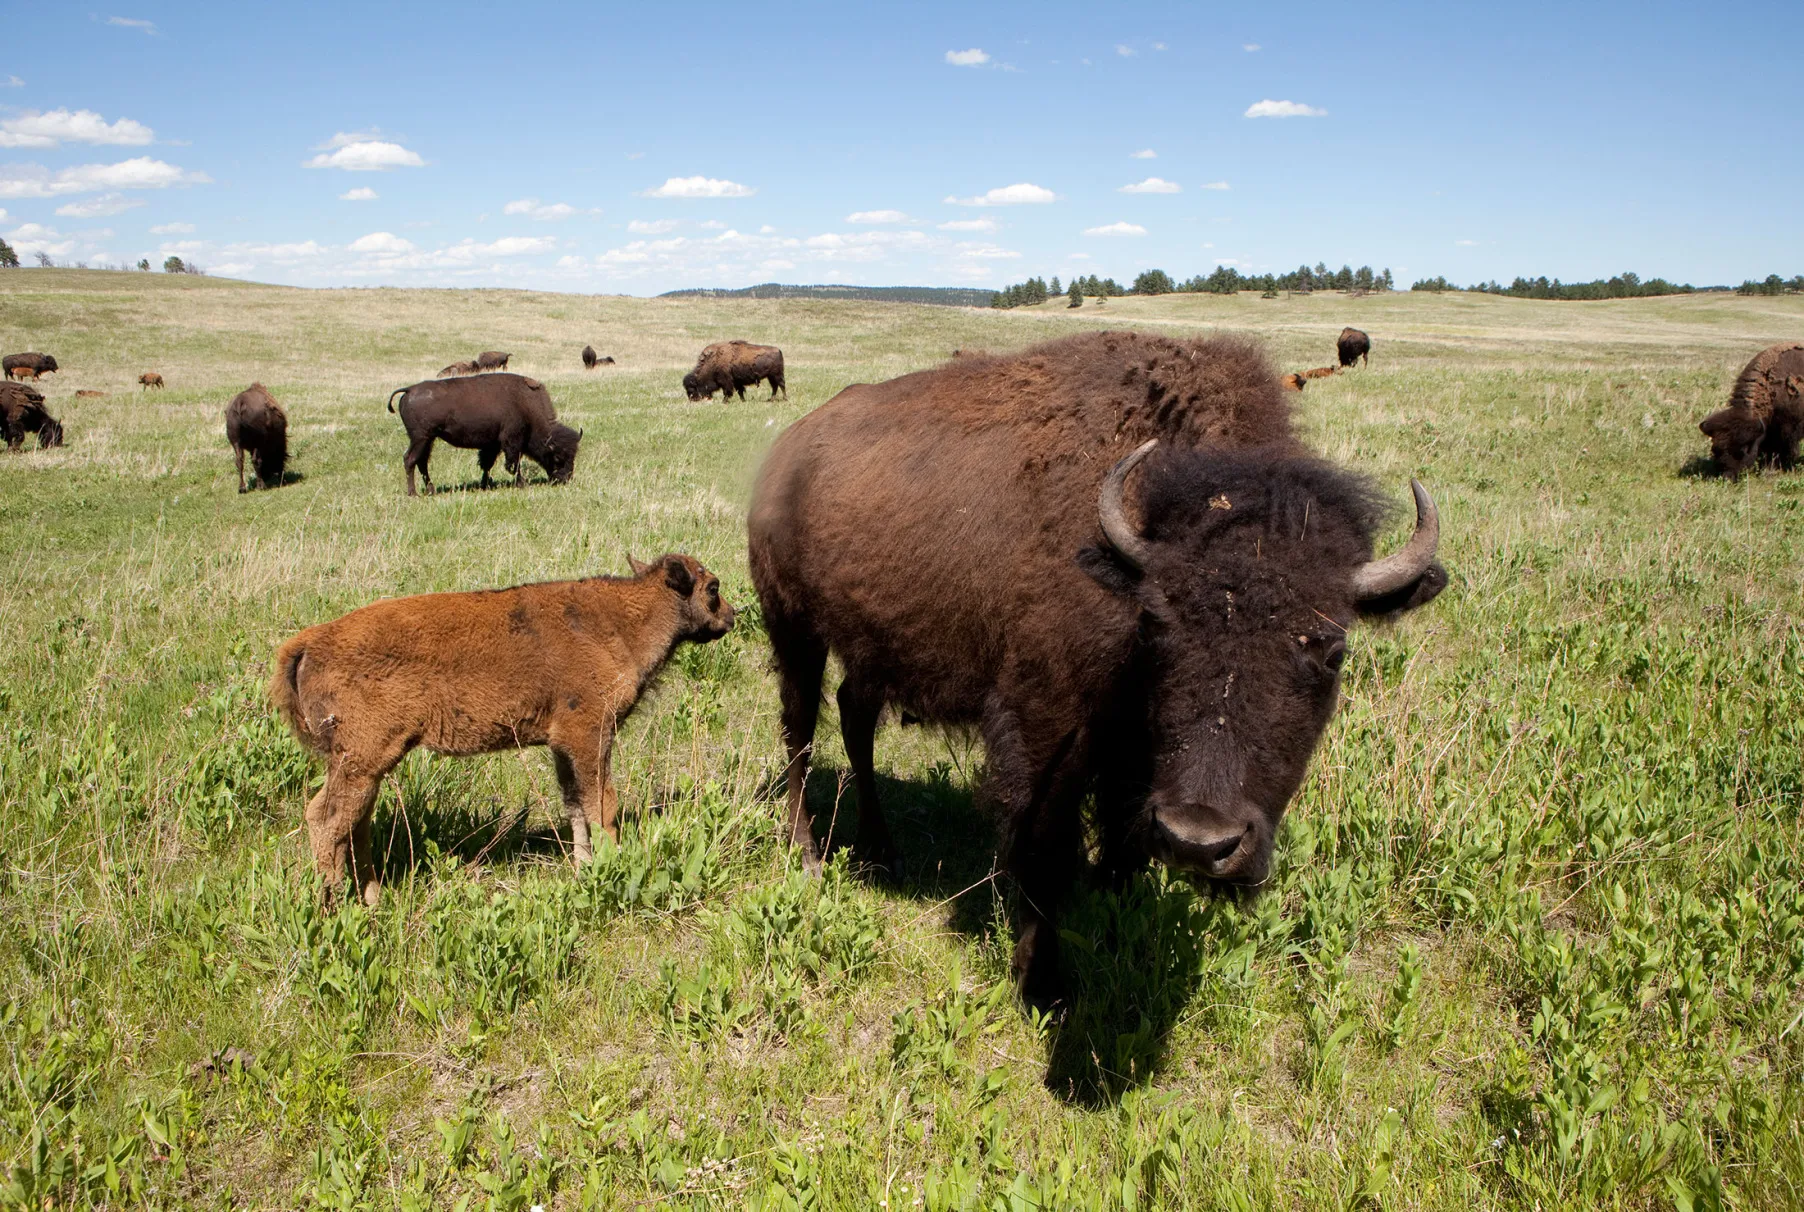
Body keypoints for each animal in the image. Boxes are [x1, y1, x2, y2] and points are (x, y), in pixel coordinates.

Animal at [269, 553, 736, 904]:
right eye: (712, 587)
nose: (733, 615)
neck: (622, 619)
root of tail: (308, 643)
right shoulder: (591, 735)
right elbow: (602, 805)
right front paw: (611, 864)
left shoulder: (562, 744)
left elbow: (574, 806)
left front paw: (584, 867)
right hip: (361, 760)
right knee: (326, 818)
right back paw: (333, 905)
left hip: (364, 767)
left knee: (356, 823)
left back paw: (373, 899)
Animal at [387, 372, 581, 495]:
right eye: (557, 458)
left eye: (573, 456)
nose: (565, 479)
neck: (524, 404)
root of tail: (409, 389)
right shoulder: (511, 441)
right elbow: (514, 464)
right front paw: (521, 483)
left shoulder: (492, 444)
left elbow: (487, 464)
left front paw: (485, 484)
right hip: (420, 438)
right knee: (410, 460)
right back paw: (413, 493)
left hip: (428, 439)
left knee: (422, 463)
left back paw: (431, 490)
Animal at [748, 330, 1445, 1004]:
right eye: (1157, 626)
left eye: (1332, 650)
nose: (1200, 840)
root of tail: (788, 448)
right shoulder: (1043, 731)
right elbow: (1047, 848)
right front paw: (1043, 983)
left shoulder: (1133, 759)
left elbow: (1120, 845)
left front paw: (1117, 926)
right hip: (793, 626)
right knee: (800, 729)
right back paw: (808, 854)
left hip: (868, 645)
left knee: (854, 717)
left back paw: (882, 852)